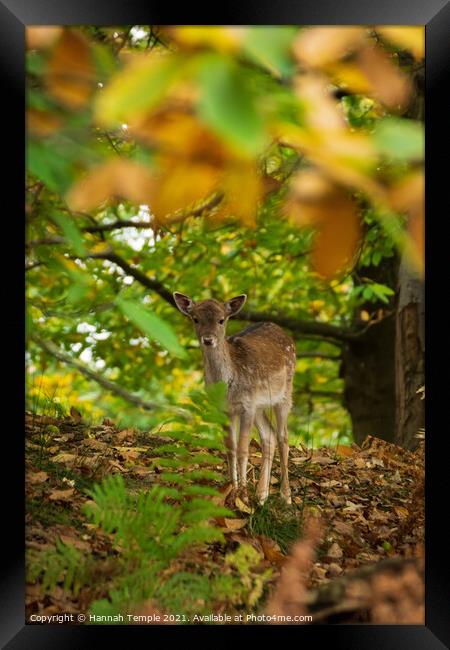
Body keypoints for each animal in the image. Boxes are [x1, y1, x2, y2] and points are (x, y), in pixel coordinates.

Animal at [172, 292, 296, 504]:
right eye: (195, 319)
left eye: (221, 320)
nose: (208, 340)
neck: (228, 385)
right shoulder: (225, 410)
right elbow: (230, 448)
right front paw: (232, 492)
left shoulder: (247, 406)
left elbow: (243, 449)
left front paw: (243, 496)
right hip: (260, 406)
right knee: (269, 436)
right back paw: (262, 495)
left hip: (285, 393)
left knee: (283, 437)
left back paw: (285, 496)